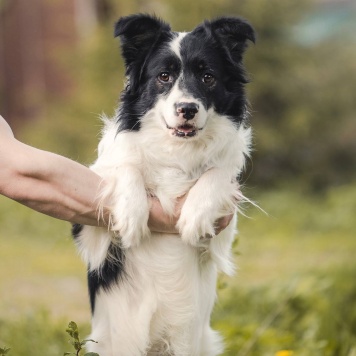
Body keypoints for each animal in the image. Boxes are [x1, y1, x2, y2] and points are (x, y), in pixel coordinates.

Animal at [72, 13, 254, 356]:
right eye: (164, 76)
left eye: (208, 77)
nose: (187, 109)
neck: (177, 150)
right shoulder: (90, 235)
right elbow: (125, 164)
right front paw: (132, 215)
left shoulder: (223, 235)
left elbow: (218, 173)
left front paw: (194, 217)